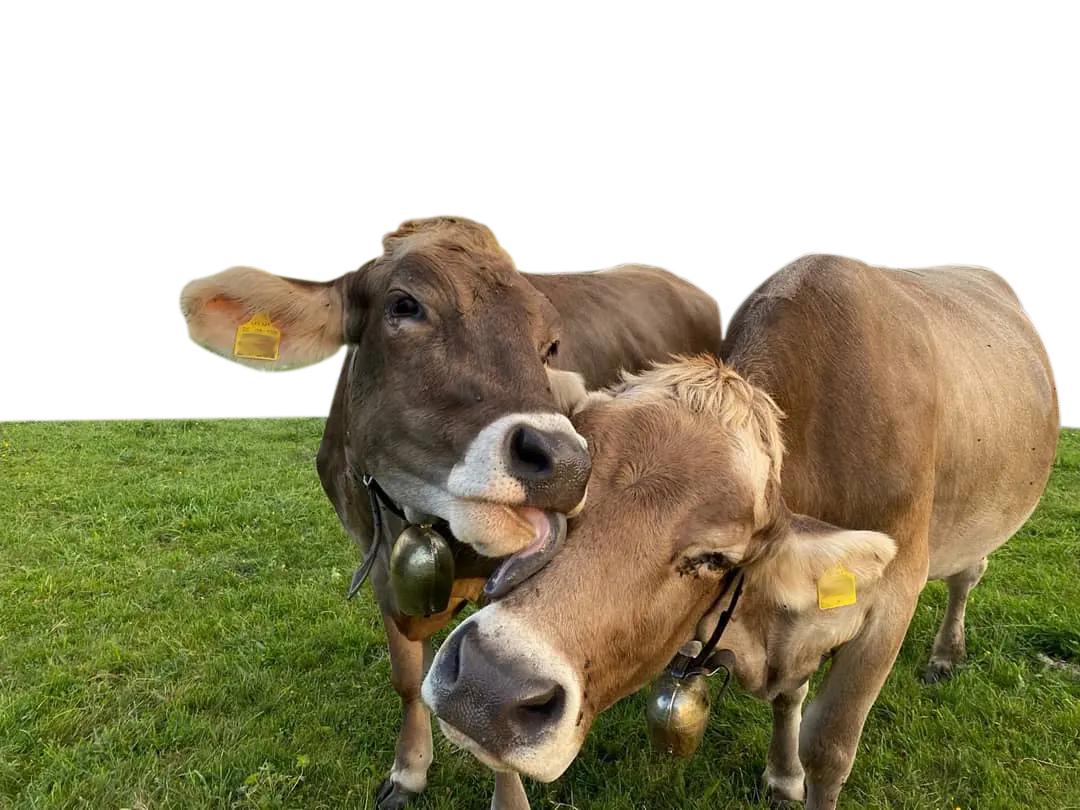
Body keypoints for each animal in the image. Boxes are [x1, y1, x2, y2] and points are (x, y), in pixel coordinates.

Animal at [178, 218, 724, 808]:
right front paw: (409, 770)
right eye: (404, 305)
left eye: (550, 345)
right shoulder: (378, 564)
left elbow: (492, 704)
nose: (567, 464)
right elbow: (406, 677)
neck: (421, 519)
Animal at [421, 249, 1060, 810]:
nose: (487, 685)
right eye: (567, 502)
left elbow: (830, 748)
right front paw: (783, 774)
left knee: (967, 576)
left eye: (714, 559)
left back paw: (947, 654)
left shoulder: (891, 601)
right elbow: (791, 696)